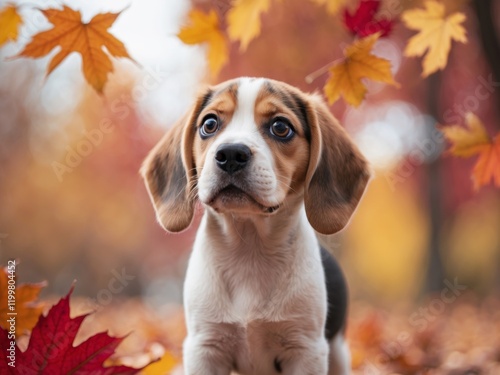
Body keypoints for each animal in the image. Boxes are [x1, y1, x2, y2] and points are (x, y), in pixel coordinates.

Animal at [141, 78, 368, 374]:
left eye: (280, 127)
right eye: (209, 124)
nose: (230, 153)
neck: (250, 247)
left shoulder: (305, 350)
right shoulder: (205, 347)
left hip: (338, 352)